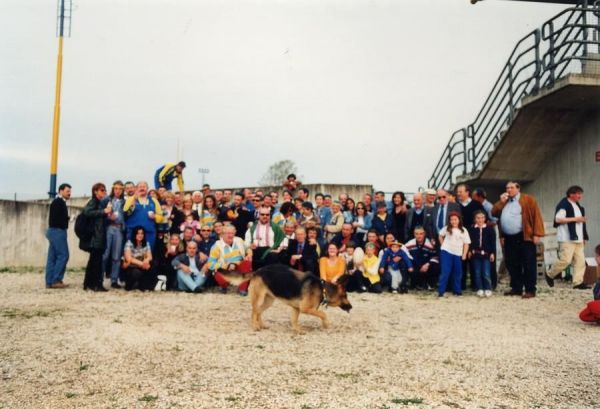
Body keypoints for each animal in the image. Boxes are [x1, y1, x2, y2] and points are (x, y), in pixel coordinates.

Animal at [219, 262, 352, 334]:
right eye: (345, 296)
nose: (351, 307)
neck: (323, 288)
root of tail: (257, 271)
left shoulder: (296, 309)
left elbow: (294, 320)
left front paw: (298, 330)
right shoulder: (305, 309)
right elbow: (323, 314)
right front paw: (326, 324)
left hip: (268, 301)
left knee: (259, 312)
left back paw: (262, 325)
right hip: (258, 298)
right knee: (254, 312)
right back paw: (255, 326)